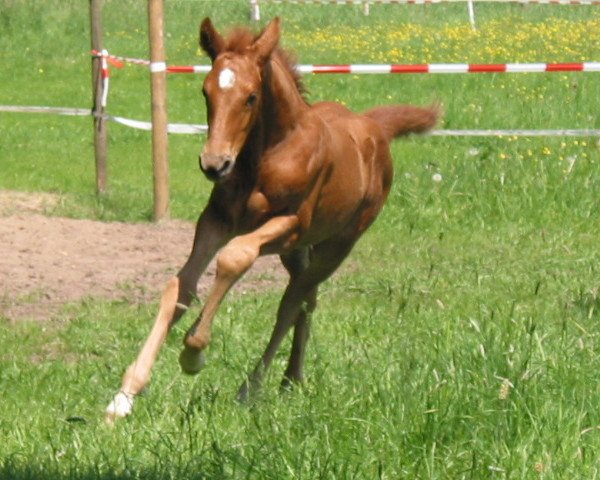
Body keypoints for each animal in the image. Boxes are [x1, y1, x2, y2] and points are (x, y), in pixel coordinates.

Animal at [105, 16, 438, 420]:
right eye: (205, 92)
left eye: (250, 97)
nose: (214, 164)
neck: (265, 156)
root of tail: (372, 126)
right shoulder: (215, 222)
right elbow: (180, 287)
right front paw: (124, 395)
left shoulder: (289, 226)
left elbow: (234, 258)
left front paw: (193, 353)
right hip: (300, 252)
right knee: (307, 299)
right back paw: (291, 378)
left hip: (337, 244)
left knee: (291, 303)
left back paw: (252, 387)